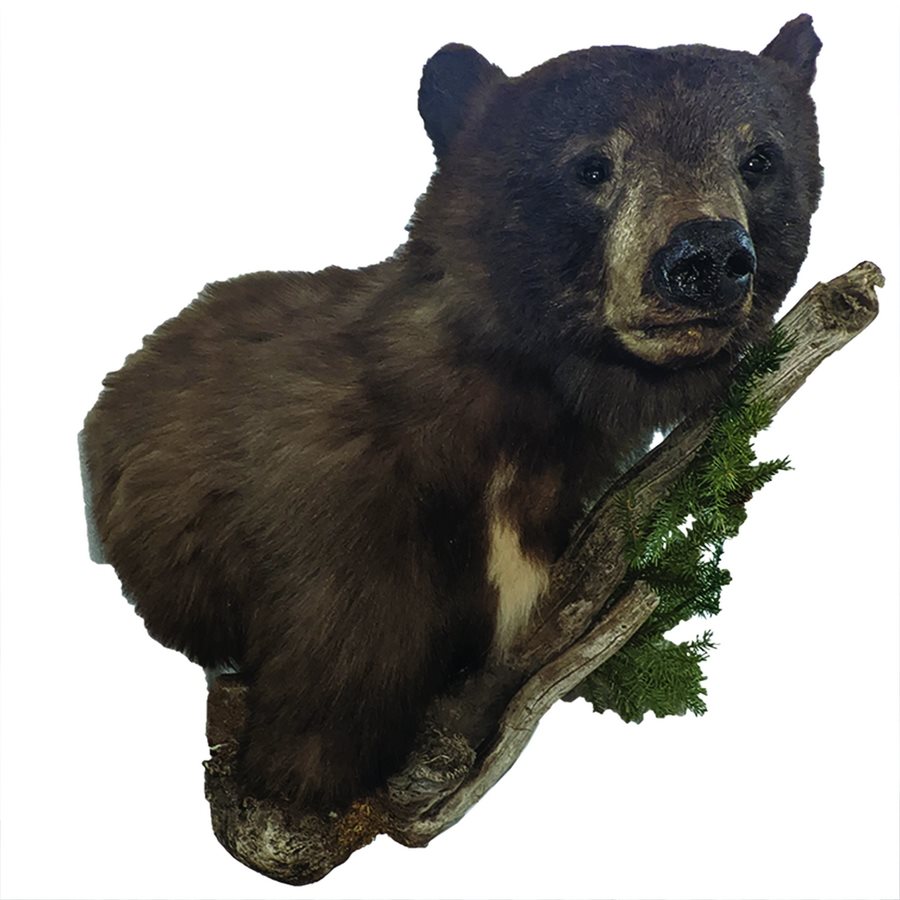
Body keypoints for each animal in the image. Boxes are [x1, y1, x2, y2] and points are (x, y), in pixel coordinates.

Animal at [81, 15, 823, 812]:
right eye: (592, 166)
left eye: (759, 158)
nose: (707, 255)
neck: (514, 420)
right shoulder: (329, 492)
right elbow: (344, 627)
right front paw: (309, 767)